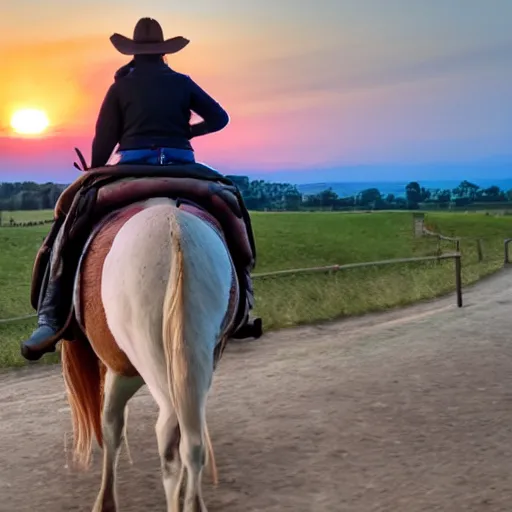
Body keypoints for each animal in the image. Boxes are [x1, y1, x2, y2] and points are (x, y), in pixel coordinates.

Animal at [59, 197, 238, 512]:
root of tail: (175, 228)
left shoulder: (120, 371)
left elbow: (111, 427)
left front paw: (106, 501)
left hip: (150, 358)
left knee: (168, 435)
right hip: (197, 356)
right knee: (191, 440)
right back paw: (192, 503)